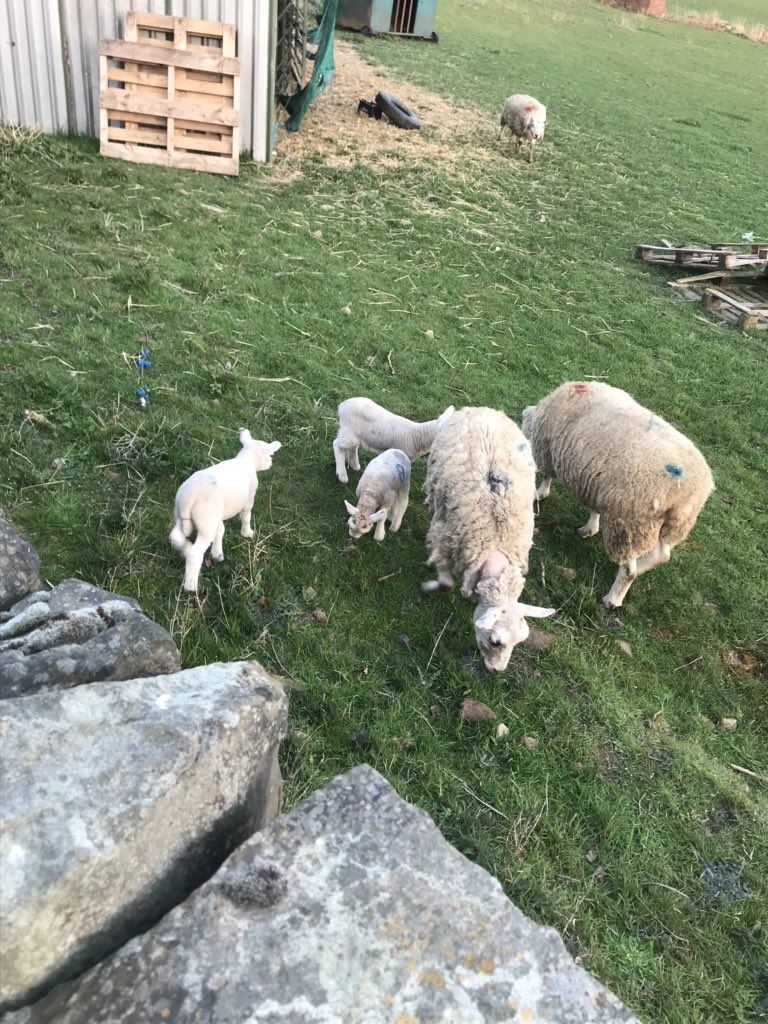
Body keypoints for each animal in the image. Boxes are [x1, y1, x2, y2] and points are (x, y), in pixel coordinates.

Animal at [169, 429, 281, 592]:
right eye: (270, 455)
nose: (270, 463)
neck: (246, 460)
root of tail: (189, 498)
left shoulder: (218, 516)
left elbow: (220, 530)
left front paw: (217, 553)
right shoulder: (248, 499)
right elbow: (246, 516)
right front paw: (247, 533)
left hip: (180, 514)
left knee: (175, 536)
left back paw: (185, 549)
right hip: (205, 521)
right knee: (195, 554)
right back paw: (191, 586)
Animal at [423, 406, 555, 673]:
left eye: (520, 640)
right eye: (495, 641)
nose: (497, 671)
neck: (496, 541)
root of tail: (483, 410)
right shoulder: (445, 539)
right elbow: (446, 583)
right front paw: (430, 588)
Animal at [521, 382, 715, 609]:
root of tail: (688, 494)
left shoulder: (548, 451)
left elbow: (547, 476)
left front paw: (540, 493)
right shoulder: (597, 484)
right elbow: (595, 509)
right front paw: (590, 528)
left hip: (631, 523)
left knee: (629, 570)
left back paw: (612, 598)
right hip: (669, 525)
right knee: (662, 555)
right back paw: (640, 568)